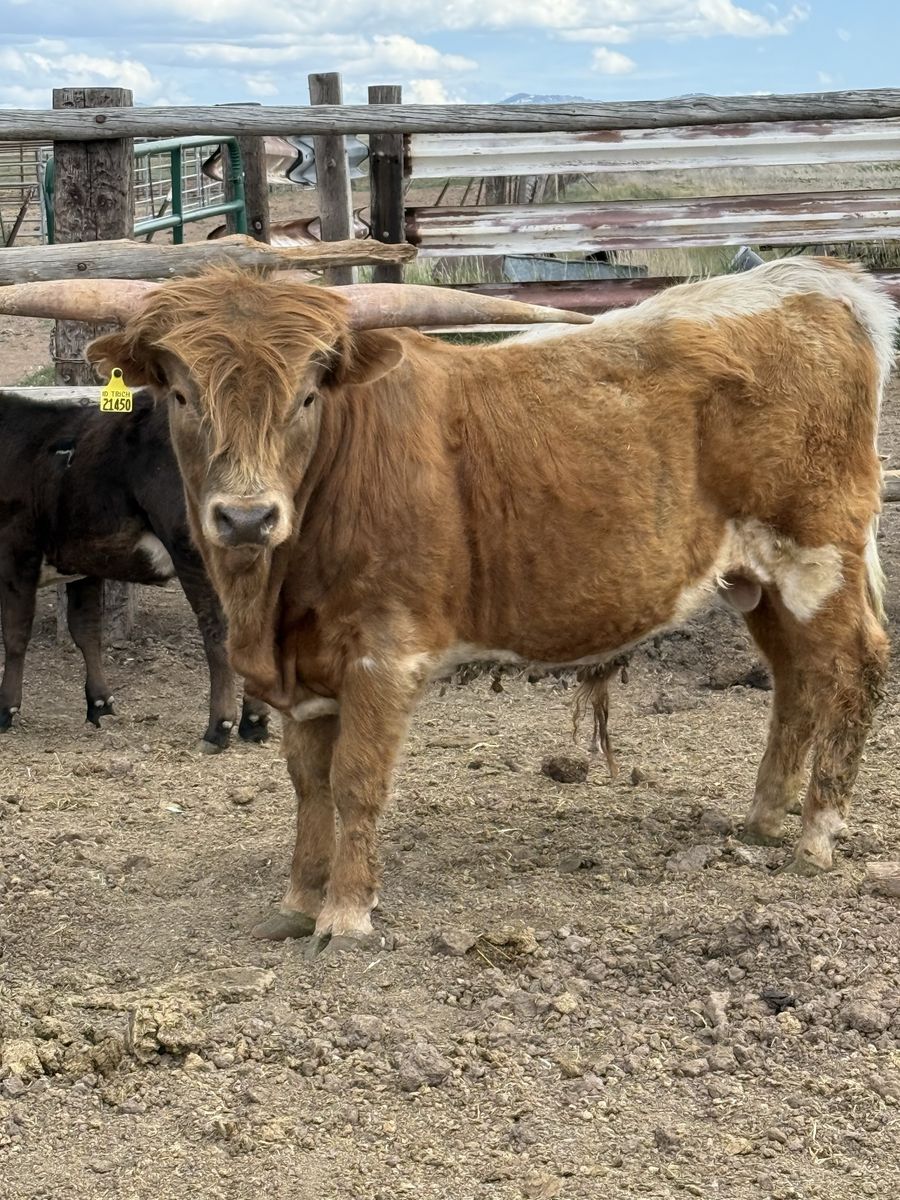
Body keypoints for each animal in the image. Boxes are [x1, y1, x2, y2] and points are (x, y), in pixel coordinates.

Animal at [0, 390, 269, 750]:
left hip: (195, 554)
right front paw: (100, 704)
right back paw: (254, 722)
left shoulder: (17, 554)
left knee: (217, 630)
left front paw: (6, 709)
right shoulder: (83, 561)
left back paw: (218, 727)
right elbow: (86, 630)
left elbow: (15, 636)